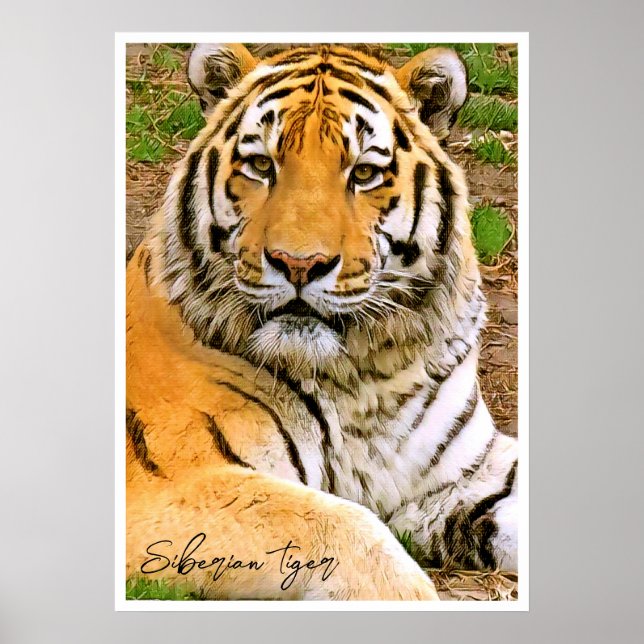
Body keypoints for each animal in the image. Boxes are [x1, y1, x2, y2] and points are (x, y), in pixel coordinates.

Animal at [125, 43, 519, 601]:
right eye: (260, 165)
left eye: (364, 173)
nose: (298, 263)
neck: (364, 374)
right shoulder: (174, 482)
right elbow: (344, 528)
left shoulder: (470, 474)